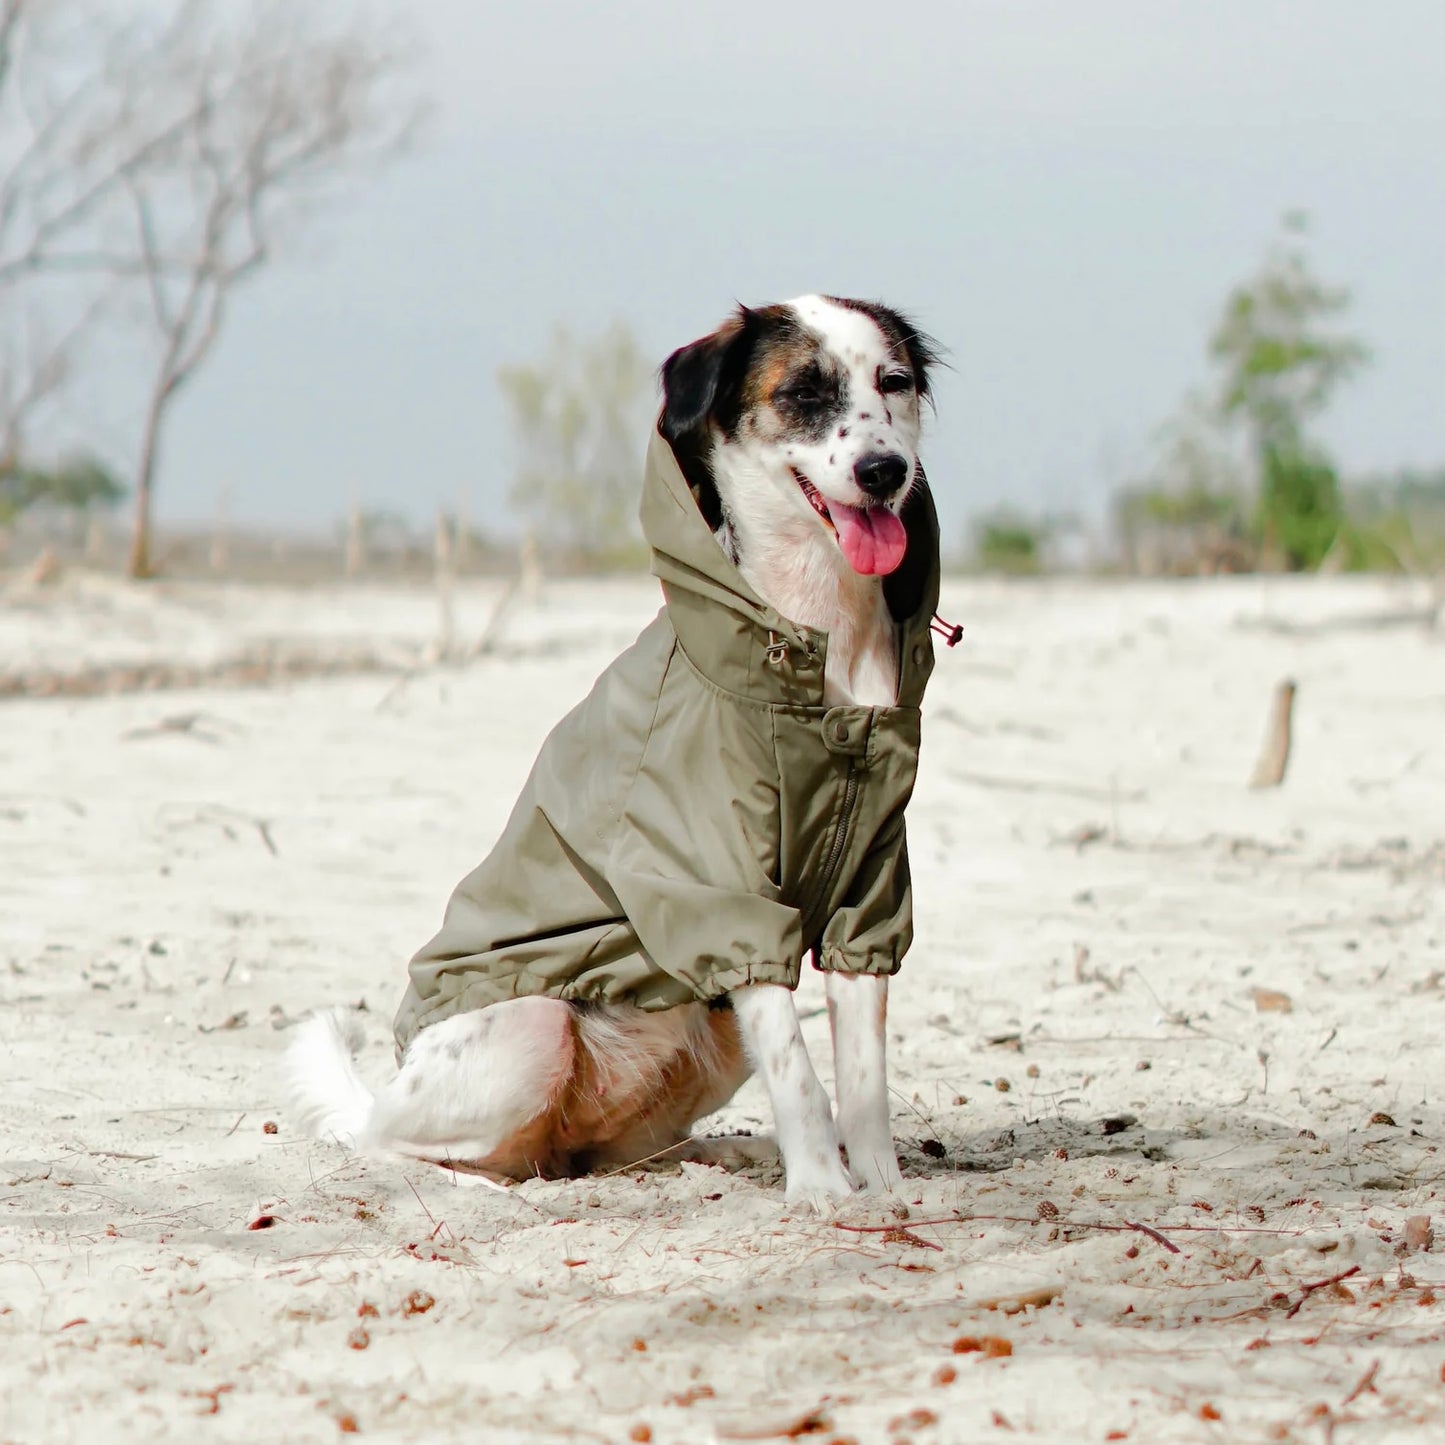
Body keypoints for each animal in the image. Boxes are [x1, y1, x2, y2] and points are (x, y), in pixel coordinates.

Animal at [286, 299, 942, 1213]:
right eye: (803, 393)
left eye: (894, 380)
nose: (885, 471)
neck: (816, 635)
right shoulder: (725, 901)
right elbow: (799, 1072)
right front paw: (820, 1187)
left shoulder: (866, 894)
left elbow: (862, 1071)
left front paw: (880, 1184)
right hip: (530, 1026)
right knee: (400, 1145)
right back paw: (488, 1188)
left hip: (703, 1033)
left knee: (603, 1152)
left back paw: (713, 1156)